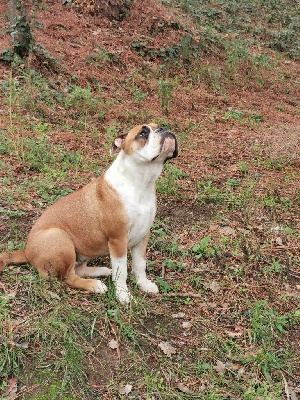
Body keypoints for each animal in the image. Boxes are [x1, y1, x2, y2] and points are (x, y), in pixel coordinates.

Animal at [0, 123, 178, 304]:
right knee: (68, 277)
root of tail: (26, 252)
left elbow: (140, 265)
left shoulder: (143, 236)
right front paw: (122, 294)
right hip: (60, 237)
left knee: (79, 270)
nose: (164, 129)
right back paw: (94, 285)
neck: (141, 183)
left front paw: (144, 284)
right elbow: (121, 271)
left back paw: (102, 271)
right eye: (143, 133)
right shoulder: (118, 239)